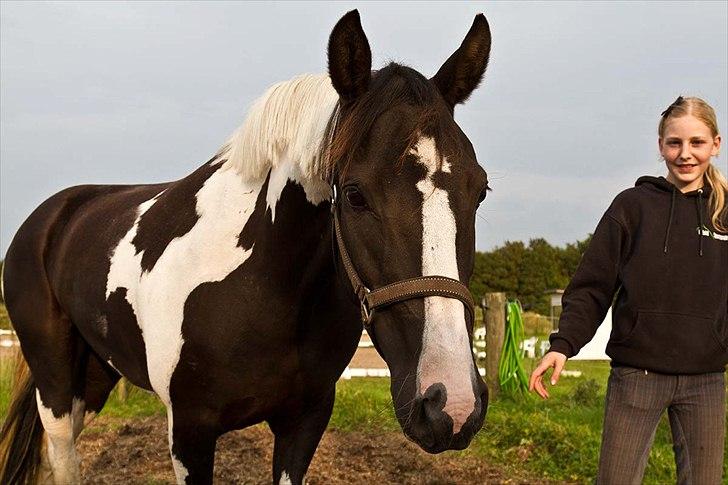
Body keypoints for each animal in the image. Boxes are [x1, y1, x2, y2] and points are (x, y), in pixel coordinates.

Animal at [0, 10, 492, 485]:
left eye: (480, 190)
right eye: (354, 194)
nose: (449, 402)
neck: (259, 288)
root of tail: (51, 216)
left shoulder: (304, 421)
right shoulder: (190, 432)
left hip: (95, 375)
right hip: (54, 383)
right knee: (62, 457)